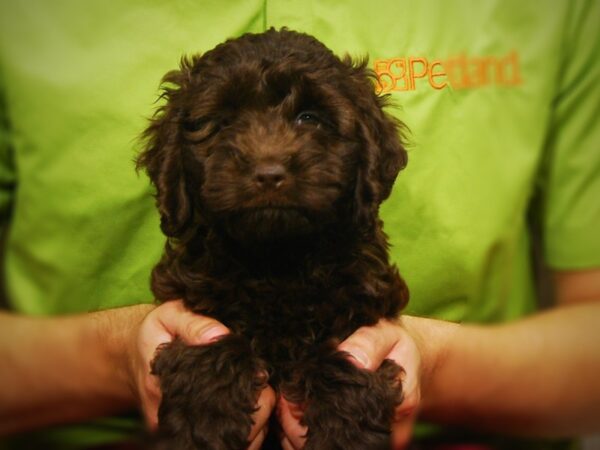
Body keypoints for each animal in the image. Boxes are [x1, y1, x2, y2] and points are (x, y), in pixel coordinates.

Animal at [137, 28, 408, 450]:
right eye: (223, 123)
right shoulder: (193, 309)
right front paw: (204, 425)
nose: (268, 174)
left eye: (309, 118)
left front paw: (343, 433)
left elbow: (345, 372)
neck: (277, 261)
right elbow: (213, 353)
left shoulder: (364, 316)